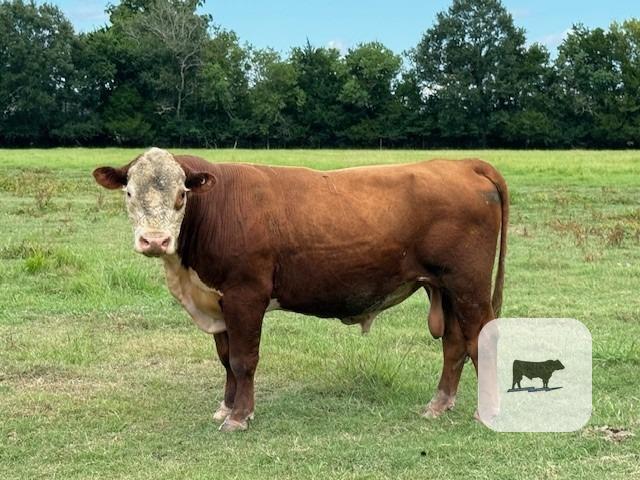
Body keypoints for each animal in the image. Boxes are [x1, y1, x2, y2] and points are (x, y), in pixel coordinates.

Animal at [92, 147, 508, 432]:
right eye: (129, 193)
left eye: (181, 195)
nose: (155, 240)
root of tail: (461, 163)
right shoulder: (218, 299)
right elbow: (226, 359)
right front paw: (226, 406)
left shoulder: (245, 295)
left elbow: (243, 360)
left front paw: (239, 416)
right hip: (445, 287)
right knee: (454, 343)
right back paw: (438, 404)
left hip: (468, 285)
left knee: (480, 340)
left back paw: (485, 411)